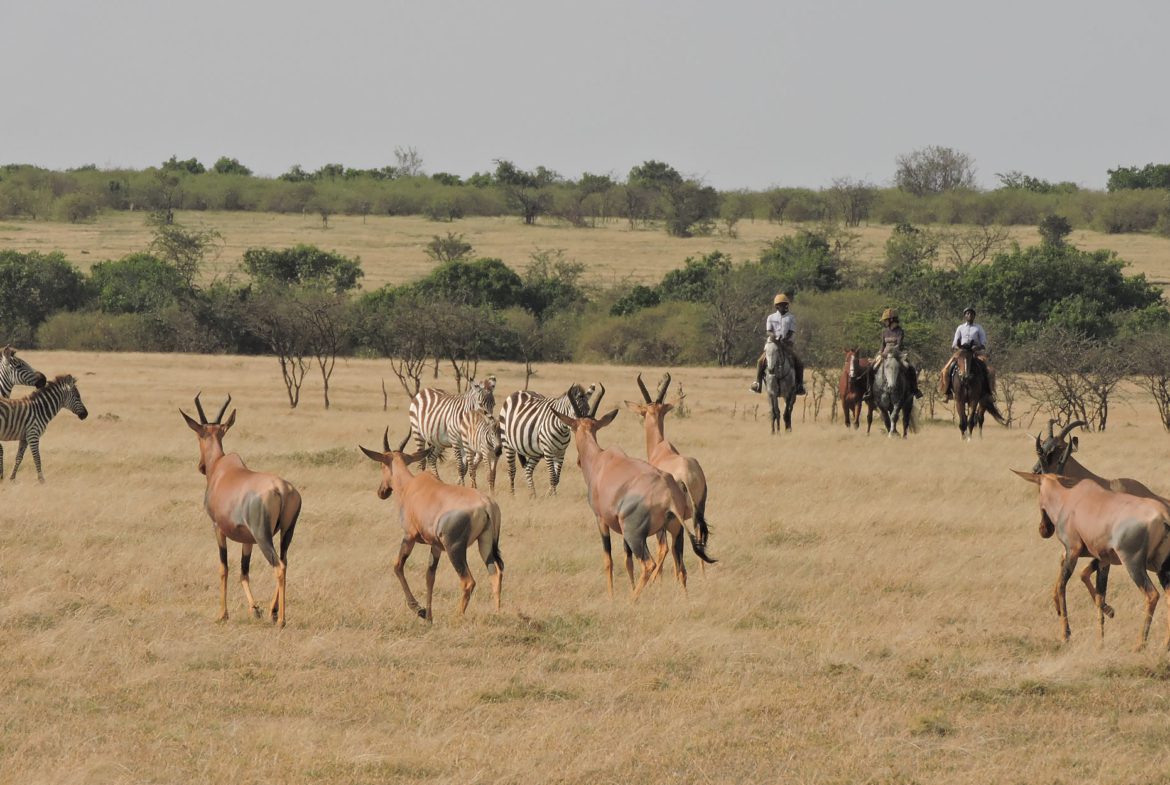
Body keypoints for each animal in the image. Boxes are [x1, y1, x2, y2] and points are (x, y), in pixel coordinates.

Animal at [177, 395, 299, 631]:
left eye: (198, 434)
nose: (201, 466)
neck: (222, 469)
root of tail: (282, 489)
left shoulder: (218, 528)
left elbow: (224, 568)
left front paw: (222, 614)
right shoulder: (247, 539)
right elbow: (244, 572)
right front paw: (255, 610)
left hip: (263, 536)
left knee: (278, 566)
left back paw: (281, 619)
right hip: (286, 533)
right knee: (285, 562)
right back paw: (272, 611)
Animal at [355, 425, 503, 622]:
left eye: (381, 464)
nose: (382, 492)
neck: (411, 486)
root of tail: (487, 505)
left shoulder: (409, 536)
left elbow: (397, 566)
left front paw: (419, 610)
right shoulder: (436, 546)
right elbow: (429, 577)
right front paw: (429, 617)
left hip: (454, 548)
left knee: (468, 581)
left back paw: (456, 617)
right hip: (485, 543)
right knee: (495, 574)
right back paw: (497, 614)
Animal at [554, 386, 711, 603]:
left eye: (572, 428)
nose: (578, 461)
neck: (601, 461)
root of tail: (669, 494)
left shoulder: (602, 520)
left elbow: (609, 560)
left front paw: (611, 597)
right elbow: (627, 562)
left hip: (636, 534)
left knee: (649, 564)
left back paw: (631, 601)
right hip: (675, 531)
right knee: (681, 569)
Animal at [1010, 472, 1170, 650]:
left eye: (1039, 489)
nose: (1043, 530)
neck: (1071, 497)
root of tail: (1164, 516)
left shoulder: (1073, 549)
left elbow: (1062, 585)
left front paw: (1065, 635)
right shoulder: (1103, 559)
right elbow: (1099, 595)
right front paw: (1101, 639)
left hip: (1133, 563)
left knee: (1152, 595)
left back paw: (1139, 645)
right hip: (1162, 567)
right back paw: (1165, 644)